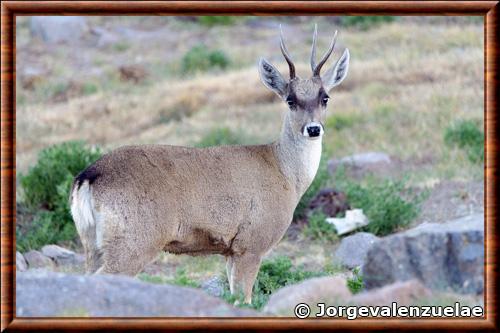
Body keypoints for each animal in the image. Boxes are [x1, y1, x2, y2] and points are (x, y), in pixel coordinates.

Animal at [70, 24, 350, 302]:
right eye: (290, 100)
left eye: (325, 97)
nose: (313, 129)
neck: (284, 173)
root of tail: (88, 176)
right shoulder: (251, 243)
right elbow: (244, 299)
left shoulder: (231, 251)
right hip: (135, 240)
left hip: (92, 243)